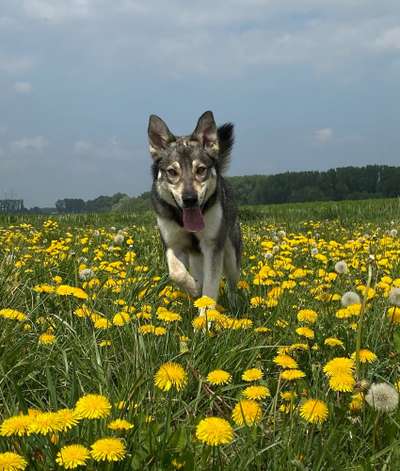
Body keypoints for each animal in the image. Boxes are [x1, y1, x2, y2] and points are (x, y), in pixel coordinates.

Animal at [147, 110, 241, 302]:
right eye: (172, 172)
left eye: (201, 170)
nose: (190, 199)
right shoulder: (172, 244)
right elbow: (176, 273)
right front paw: (194, 287)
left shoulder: (212, 246)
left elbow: (210, 287)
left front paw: (206, 309)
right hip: (195, 255)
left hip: (230, 253)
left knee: (233, 280)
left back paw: (234, 302)